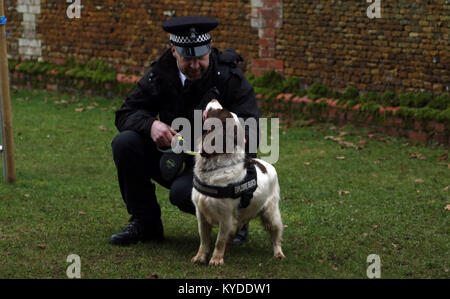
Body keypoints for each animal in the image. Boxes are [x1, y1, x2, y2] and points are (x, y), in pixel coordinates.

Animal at [191, 101, 284, 268]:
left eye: (220, 111)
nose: (213, 99)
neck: (215, 167)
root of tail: (268, 165)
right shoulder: (200, 213)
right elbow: (204, 239)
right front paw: (200, 257)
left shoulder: (226, 217)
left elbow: (219, 241)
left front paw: (216, 260)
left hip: (271, 212)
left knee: (276, 233)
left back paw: (278, 253)